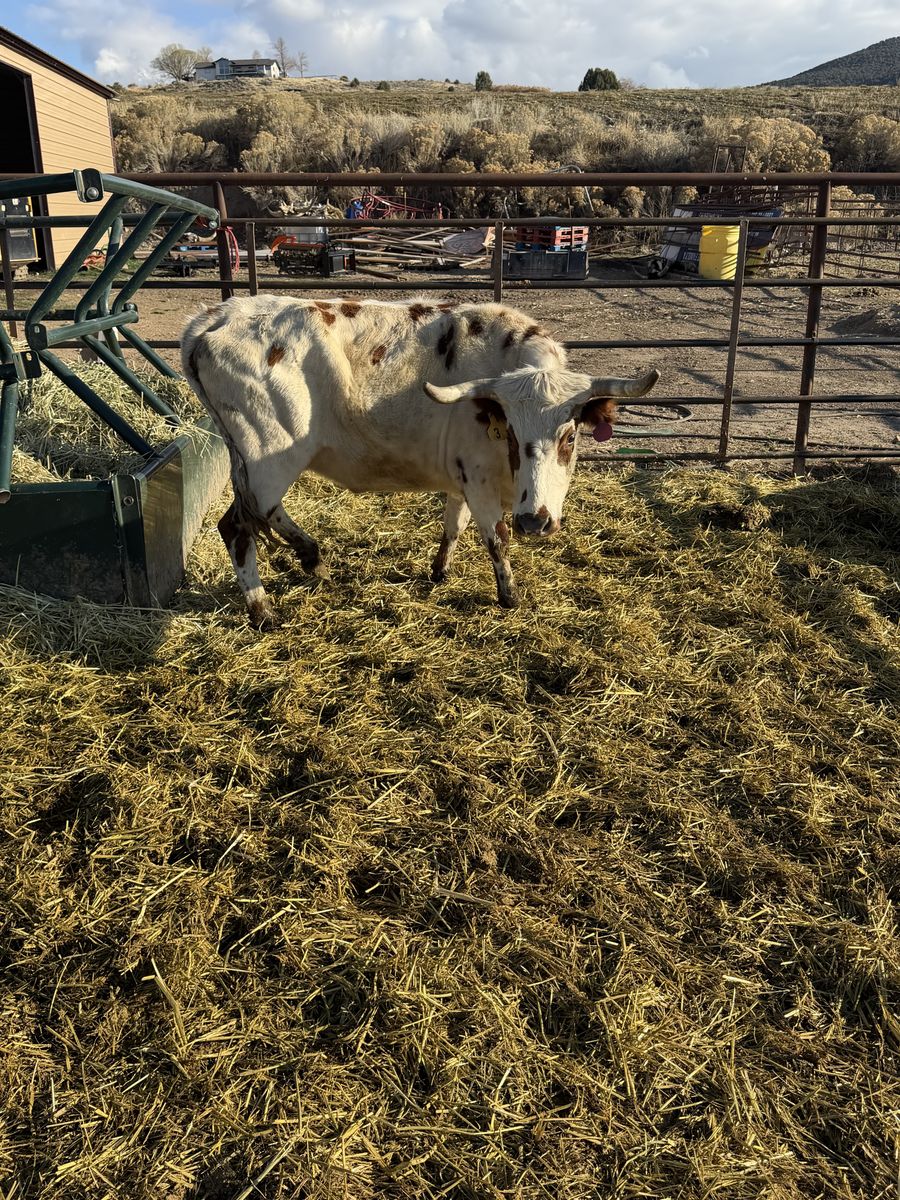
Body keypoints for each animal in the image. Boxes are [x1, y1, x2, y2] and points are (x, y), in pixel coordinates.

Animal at [181, 295, 659, 626]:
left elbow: (453, 525)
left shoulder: (464, 478)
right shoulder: (480, 480)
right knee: (241, 524)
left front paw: (440, 570)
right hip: (266, 458)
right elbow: (496, 537)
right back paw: (267, 604)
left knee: (255, 517)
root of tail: (217, 316)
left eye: (570, 436)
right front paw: (510, 595)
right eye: (512, 433)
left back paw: (309, 562)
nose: (535, 522)